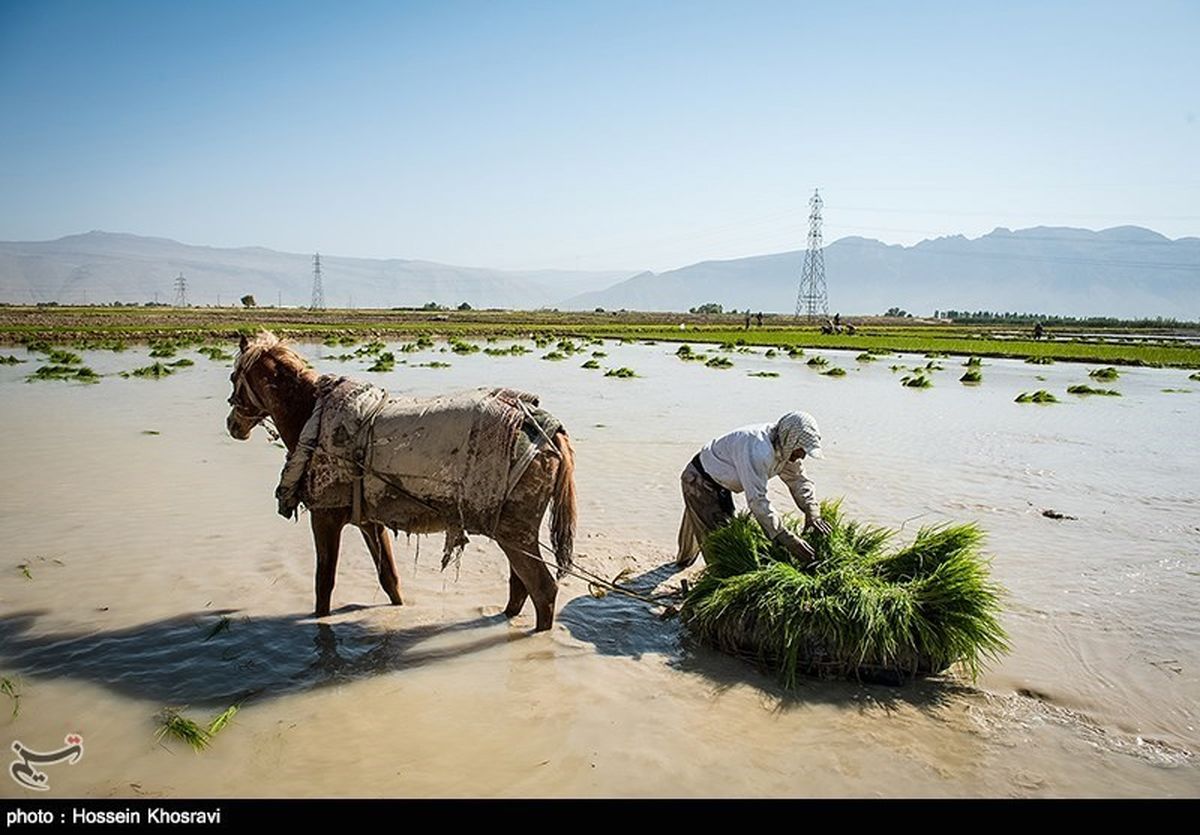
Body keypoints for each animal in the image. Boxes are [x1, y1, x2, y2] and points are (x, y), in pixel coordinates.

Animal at [229, 328, 580, 628]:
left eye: (234, 378)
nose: (232, 425)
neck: (312, 414)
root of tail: (550, 431)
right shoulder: (368, 521)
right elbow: (389, 578)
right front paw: (399, 612)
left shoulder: (325, 517)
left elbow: (324, 584)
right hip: (513, 533)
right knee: (520, 587)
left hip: (515, 533)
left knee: (543, 591)